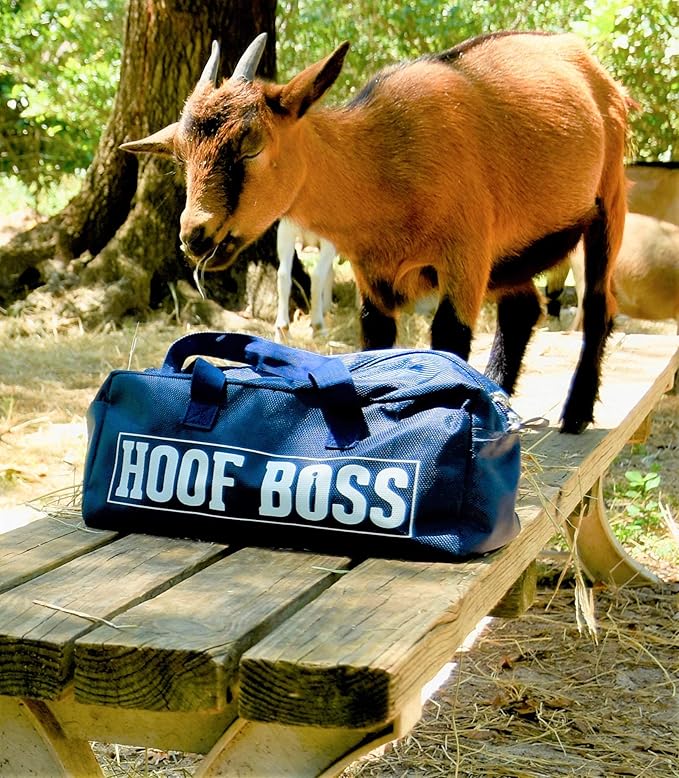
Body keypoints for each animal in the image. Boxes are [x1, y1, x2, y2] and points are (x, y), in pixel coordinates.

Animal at [121, 31, 631, 433]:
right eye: (180, 156)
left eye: (251, 147)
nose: (196, 235)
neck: (384, 159)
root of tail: (591, 66)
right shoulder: (373, 275)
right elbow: (375, 343)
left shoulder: (465, 256)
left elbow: (449, 340)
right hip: (511, 254)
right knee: (523, 308)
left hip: (608, 200)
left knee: (598, 304)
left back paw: (576, 412)